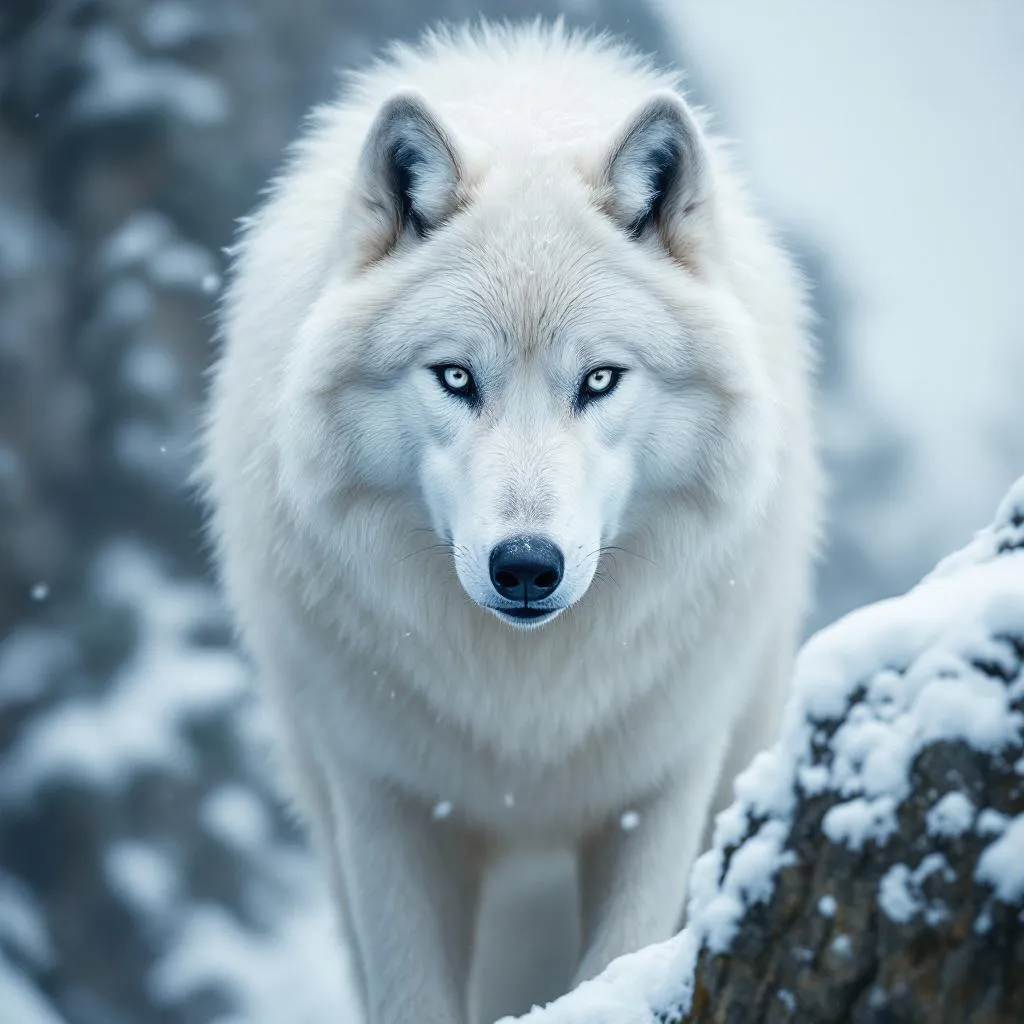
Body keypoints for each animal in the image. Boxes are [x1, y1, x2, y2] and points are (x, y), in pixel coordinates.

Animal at [201, 19, 820, 1024]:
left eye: (599, 378)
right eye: (456, 377)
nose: (525, 565)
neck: (525, 711)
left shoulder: (662, 784)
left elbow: (623, 954)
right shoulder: (386, 798)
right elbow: (409, 993)